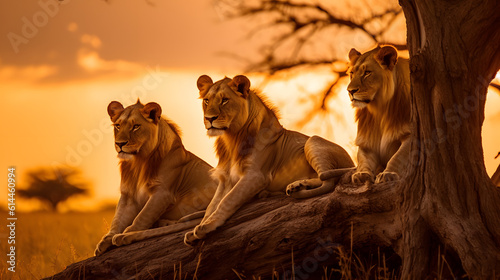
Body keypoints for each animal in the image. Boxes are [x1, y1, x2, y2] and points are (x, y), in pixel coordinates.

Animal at [94, 100, 216, 256]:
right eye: (118, 126)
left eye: (136, 126)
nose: (119, 144)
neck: (138, 163)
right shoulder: (128, 196)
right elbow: (117, 219)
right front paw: (106, 240)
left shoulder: (162, 193)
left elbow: (142, 216)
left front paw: (127, 232)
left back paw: (128, 235)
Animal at [185, 74, 356, 245]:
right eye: (207, 101)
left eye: (225, 100)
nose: (209, 118)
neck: (231, 139)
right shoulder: (225, 179)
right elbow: (212, 206)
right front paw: (198, 228)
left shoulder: (256, 176)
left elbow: (227, 200)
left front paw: (206, 226)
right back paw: (293, 187)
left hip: (312, 141)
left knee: (328, 179)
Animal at [342, 45, 412, 186]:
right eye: (352, 73)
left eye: (367, 72)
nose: (350, 91)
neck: (380, 109)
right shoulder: (367, 143)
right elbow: (363, 160)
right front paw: (361, 174)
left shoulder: (411, 135)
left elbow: (397, 157)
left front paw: (388, 174)